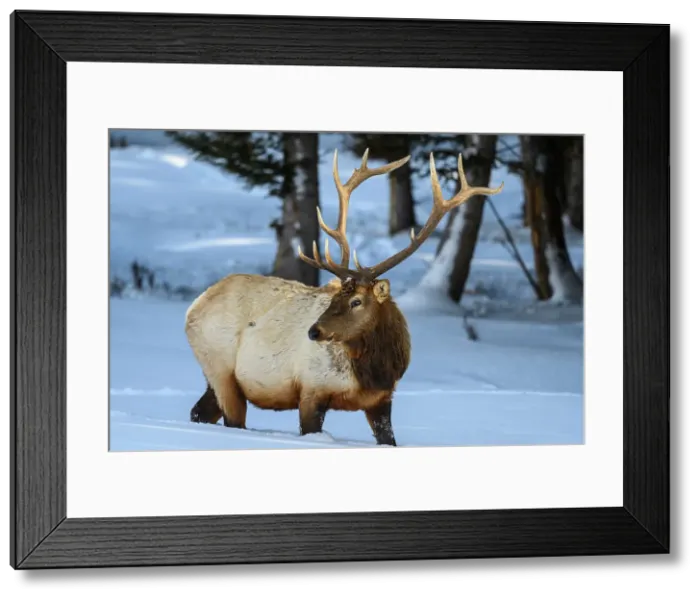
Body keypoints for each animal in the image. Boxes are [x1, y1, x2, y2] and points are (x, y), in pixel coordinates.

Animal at [185, 148, 504, 446]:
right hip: (220, 368)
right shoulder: (311, 390)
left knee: (198, 412)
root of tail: (193, 308)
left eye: (356, 301)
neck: (373, 373)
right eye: (333, 299)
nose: (313, 331)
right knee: (231, 420)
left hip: (217, 379)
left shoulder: (382, 400)